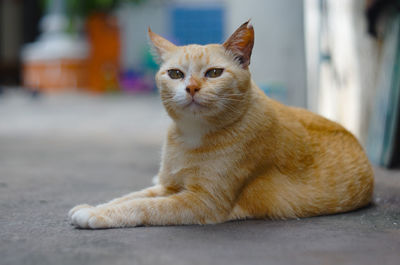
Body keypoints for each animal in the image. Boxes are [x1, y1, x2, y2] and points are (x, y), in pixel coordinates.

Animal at [69, 21, 376, 228]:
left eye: (214, 73)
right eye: (175, 74)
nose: (191, 88)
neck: (191, 137)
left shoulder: (202, 202)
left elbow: (143, 206)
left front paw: (95, 214)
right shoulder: (169, 186)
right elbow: (130, 197)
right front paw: (97, 206)